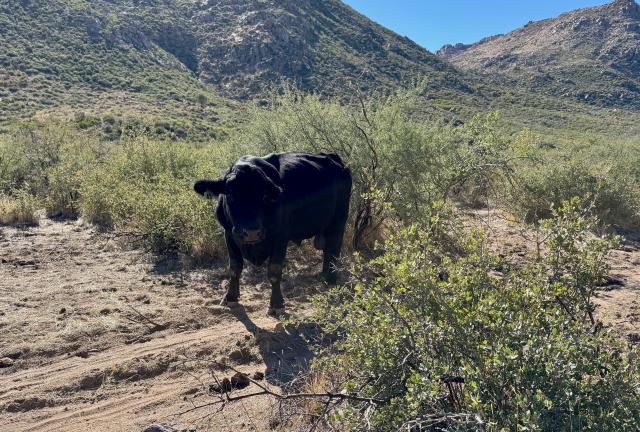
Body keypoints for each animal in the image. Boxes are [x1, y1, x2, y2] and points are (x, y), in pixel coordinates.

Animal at [194, 152, 352, 317]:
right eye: (229, 195)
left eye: (264, 196)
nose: (251, 232)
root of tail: (333, 158)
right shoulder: (229, 234)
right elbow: (235, 267)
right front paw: (230, 296)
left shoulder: (280, 237)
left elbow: (274, 271)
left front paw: (276, 304)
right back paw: (324, 275)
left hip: (339, 221)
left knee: (334, 249)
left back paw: (330, 278)